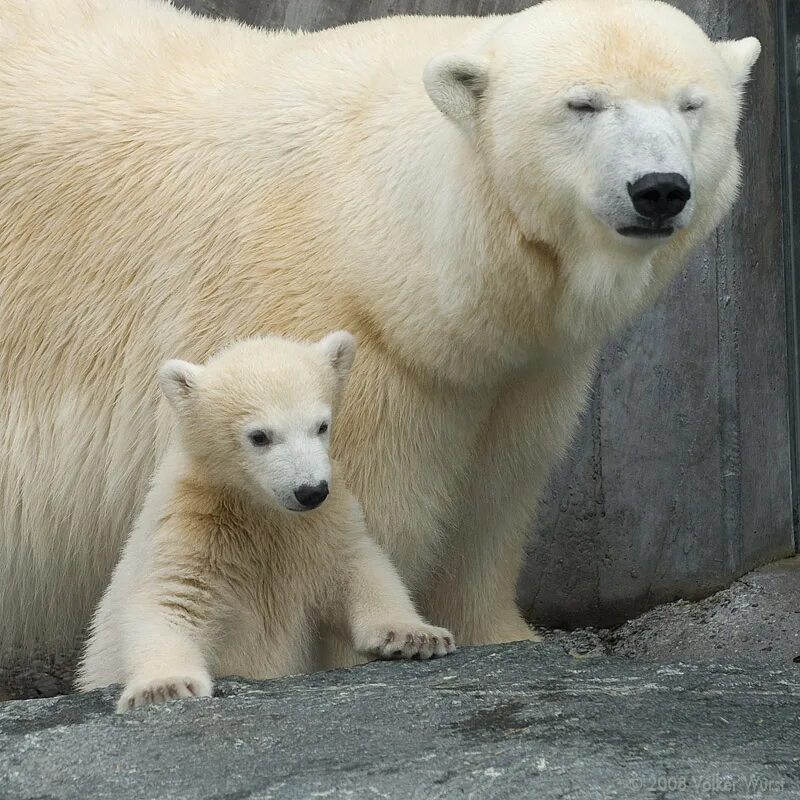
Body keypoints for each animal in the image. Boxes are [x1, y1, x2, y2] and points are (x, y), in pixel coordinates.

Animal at [0, 0, 756, 648]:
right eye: (583, 103)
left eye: (692, 104)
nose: (658, 189)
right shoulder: (332, 344)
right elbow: (347, 512)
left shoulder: (518, 371)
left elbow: (495, 494)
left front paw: (503, 631)